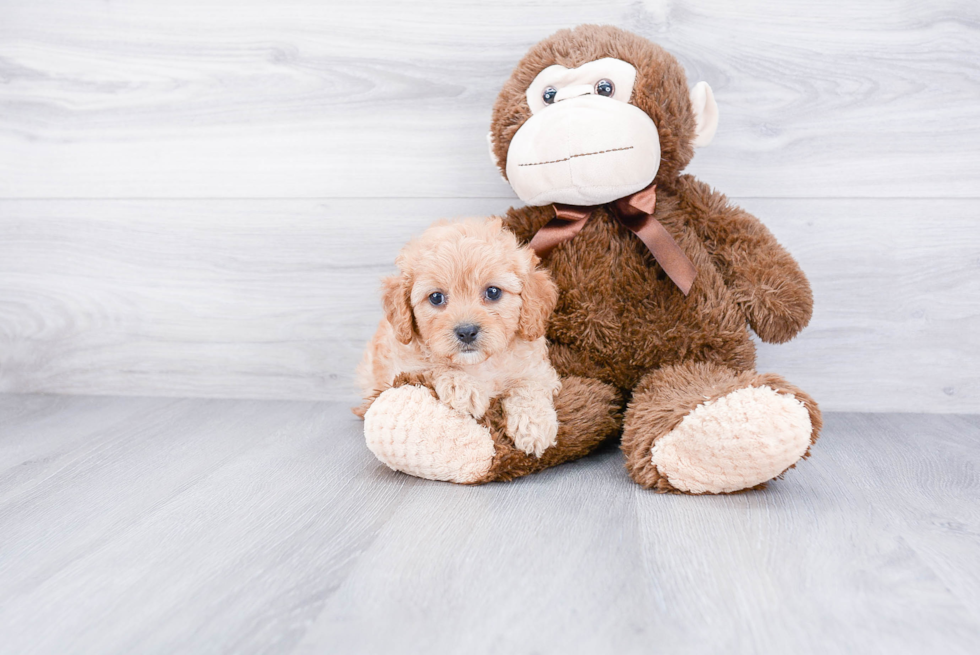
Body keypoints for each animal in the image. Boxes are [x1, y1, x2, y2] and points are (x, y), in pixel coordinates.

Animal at [356, 218, 564, 458]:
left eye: (493, 292)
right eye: (436, 297)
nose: (467, 331)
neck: (477, 364)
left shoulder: (537, 369)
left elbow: (530, 386)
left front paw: (534, 426)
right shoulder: (401, 367)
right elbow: (433, 367)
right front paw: (463, 387)